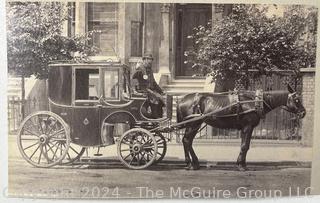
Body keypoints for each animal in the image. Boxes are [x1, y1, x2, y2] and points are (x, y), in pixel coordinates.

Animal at [176, 85, 306, 170]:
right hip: (193, 124)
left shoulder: (247, 128)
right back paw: (189, 164)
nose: (303, 112)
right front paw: (241, 165)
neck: (255, 102)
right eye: (297, 100)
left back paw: (195, 163)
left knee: (188, 141)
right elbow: (244, 146)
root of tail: (182, 100)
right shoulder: (247, 127)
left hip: (195, 124)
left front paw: (241, 163)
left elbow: (245, 145)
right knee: (186, 140)